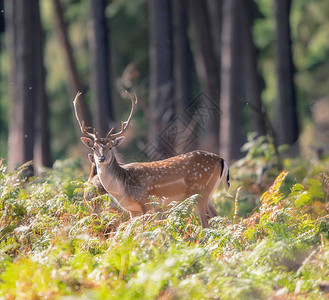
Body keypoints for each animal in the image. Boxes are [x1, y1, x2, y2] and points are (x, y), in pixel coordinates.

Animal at [73, 91, 229, 227]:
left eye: (111, 147)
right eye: (94, 147)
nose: (102, 158)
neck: (122, 188)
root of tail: (221, 160)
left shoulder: (146, 202)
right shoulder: (132, 210)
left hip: (200, 191)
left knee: (206, 223)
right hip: (207, 193)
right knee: (217, 217)